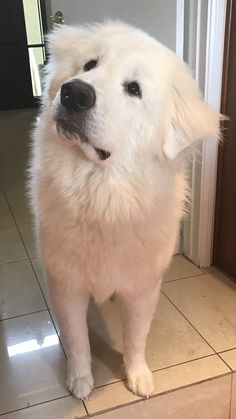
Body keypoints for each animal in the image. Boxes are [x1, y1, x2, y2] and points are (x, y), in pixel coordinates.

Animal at [29, 22, 219, 400]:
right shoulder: (67, 287)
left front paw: (138, 376)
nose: (75, 92)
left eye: (133, 89)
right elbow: (77, 340)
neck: (104, 200)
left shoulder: (143, 289)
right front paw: (81, 381)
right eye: (90, 65)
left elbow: (135, 338)